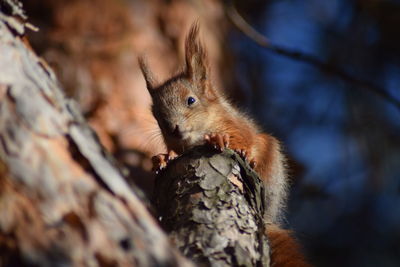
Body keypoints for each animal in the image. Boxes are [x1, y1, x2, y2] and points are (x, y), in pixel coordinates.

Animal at [139, 23, 310, 267]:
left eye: (191, 100)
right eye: (157, 115)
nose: (173, 128)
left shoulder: (236, 125)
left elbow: (242, 139)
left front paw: (220, 140)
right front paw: (163, 157)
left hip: (271, 161)